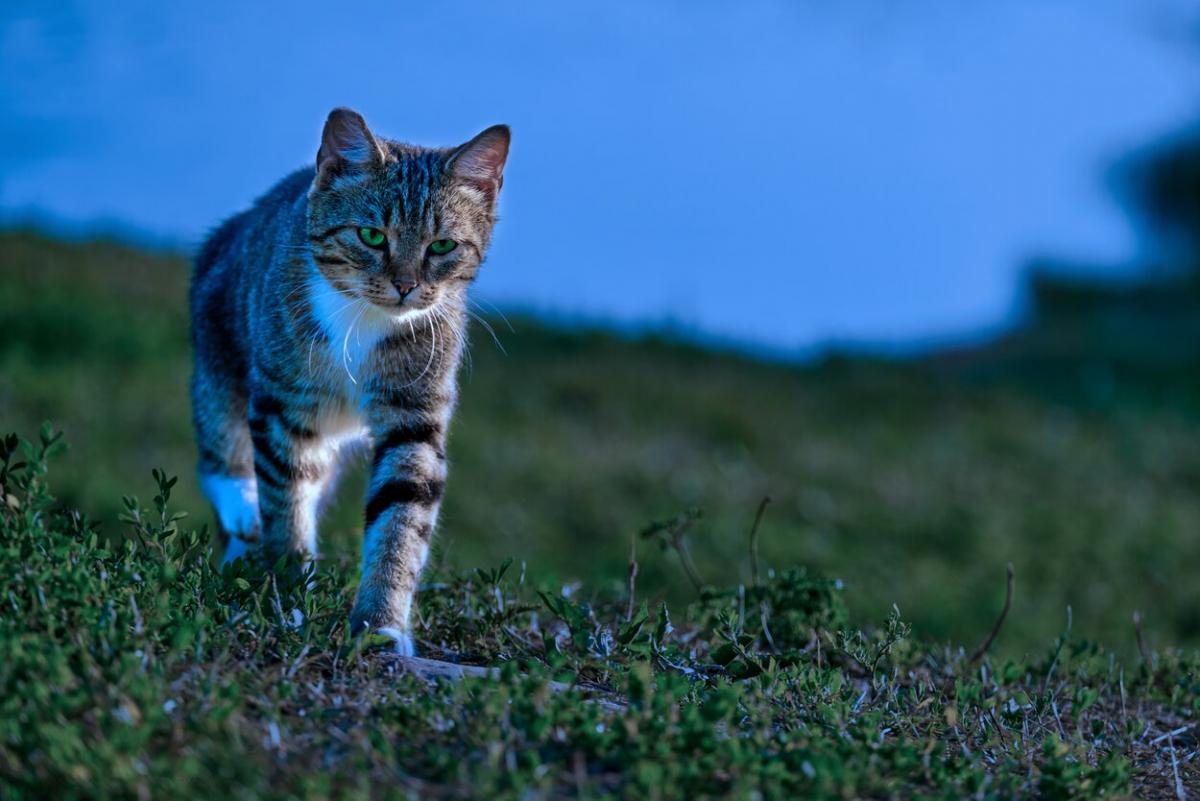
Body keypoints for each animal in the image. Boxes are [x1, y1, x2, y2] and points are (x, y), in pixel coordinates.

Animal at [189, 106, 508, 652]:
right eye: (373, 236)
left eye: (442, 245)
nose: (405, 286)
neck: (364, 320)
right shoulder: (282, 403)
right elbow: (285, 497)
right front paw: (289, 586)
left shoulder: (414, 416)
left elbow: (402, 514)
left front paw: (381, 626)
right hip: (217, 344)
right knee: (223, 446)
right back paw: (242, 515)